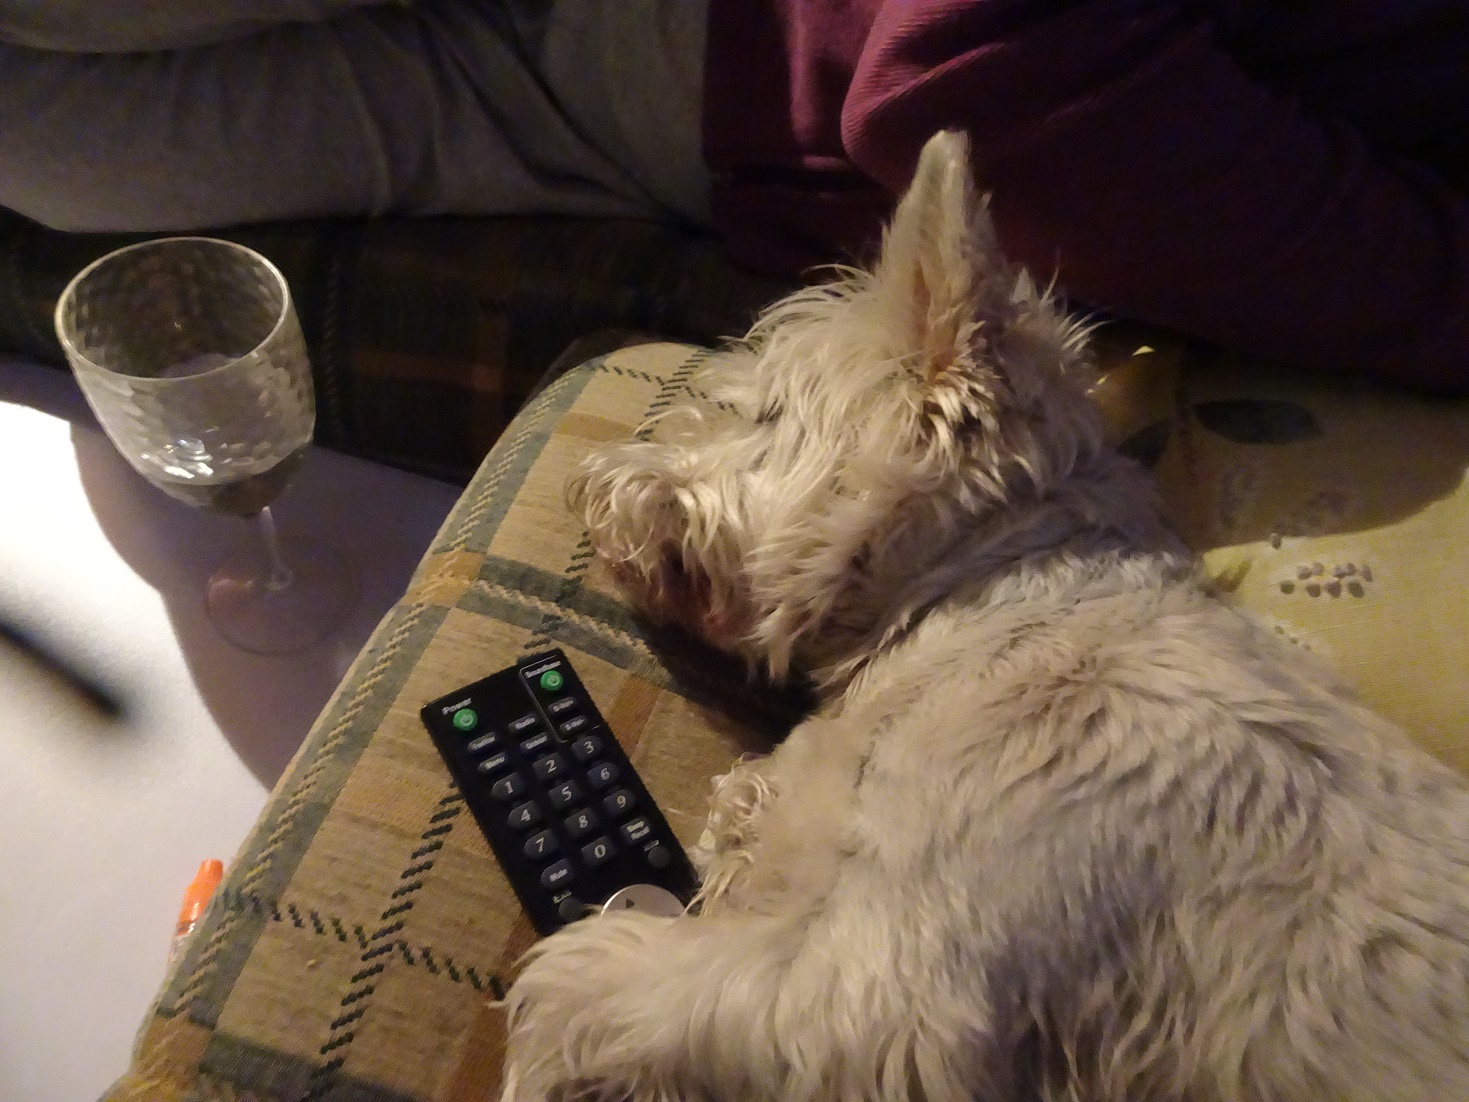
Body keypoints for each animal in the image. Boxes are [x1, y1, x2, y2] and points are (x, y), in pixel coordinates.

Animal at [502, 131, 1469, 1102]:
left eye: (765, 414)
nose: (589, 481)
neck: (975, 601)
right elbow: (761, 812)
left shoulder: (881, 995)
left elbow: (616, 984)